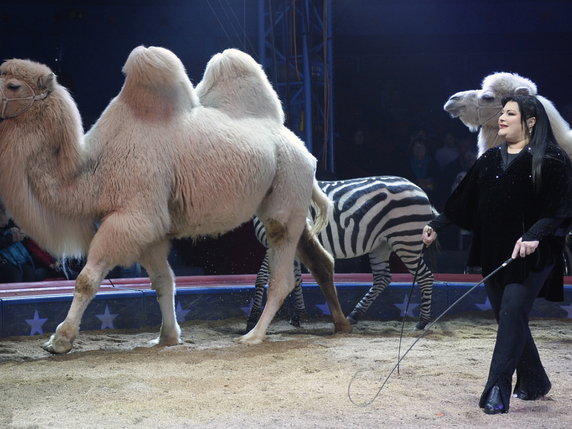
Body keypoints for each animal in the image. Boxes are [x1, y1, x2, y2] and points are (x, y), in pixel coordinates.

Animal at [0, 47, 350, 354]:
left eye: (13, 85)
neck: (94, 170)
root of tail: (303, 148)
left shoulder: (133, 216)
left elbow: (86, 279)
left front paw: (60, 341)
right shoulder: (151, 230)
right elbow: (163, 280)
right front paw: (167, 337)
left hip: (286, 191)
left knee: (282, 275)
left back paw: (253, 336)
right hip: (288, 203)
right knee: (320, 259)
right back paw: (341, 324)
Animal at [248, 176, 436, 330]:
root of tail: (419, 189)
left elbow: (262, 278)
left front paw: (253, 318)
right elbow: (296, 279)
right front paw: (297, 315)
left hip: (406, 240)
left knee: (425, 277)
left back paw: (422, 322)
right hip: (382, 245)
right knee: (382, 278)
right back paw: (354, 315)